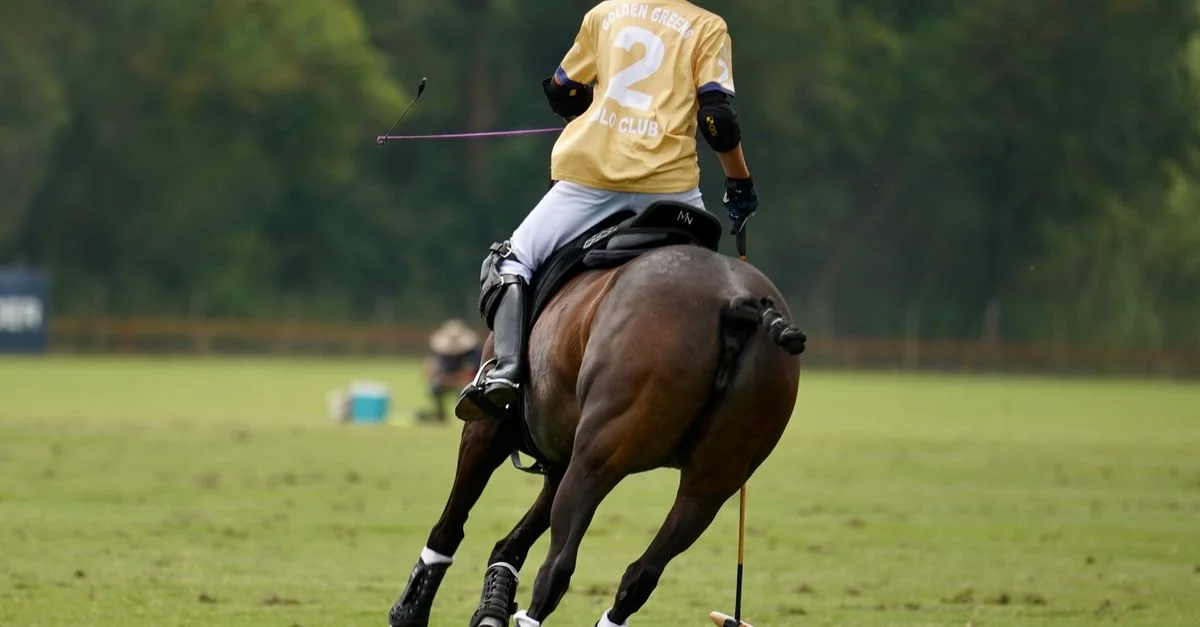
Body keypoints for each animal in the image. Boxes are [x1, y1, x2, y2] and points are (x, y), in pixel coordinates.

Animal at [386, 202, 806, 626]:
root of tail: (735, 303)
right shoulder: (561, 453)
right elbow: (511, 543)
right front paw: (491, 607)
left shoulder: (491, 427)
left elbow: (452, 522)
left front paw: (410, 610)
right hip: (712, 481)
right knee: (642, 574)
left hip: (597, 459)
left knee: (558, 567)